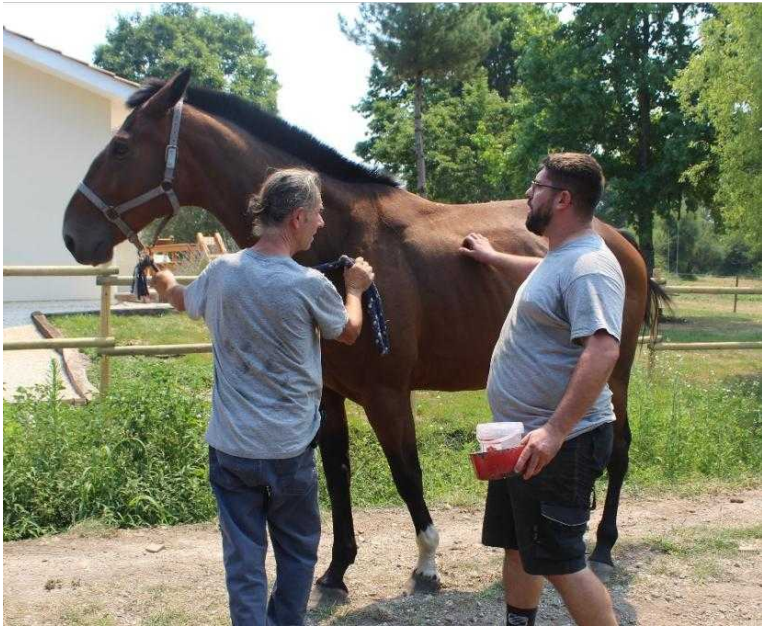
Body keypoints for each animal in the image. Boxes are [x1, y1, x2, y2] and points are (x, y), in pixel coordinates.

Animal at [63, 71, 664, 596]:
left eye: (121, 147)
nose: (72, 235)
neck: (340, 237)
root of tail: (619, 239)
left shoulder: (387, 395)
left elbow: (407, 475)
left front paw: (426, 565)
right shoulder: (327, 395)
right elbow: (338, 475)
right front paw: (335, 570)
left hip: (614, 375)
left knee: (619, 449)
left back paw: (603, 543)